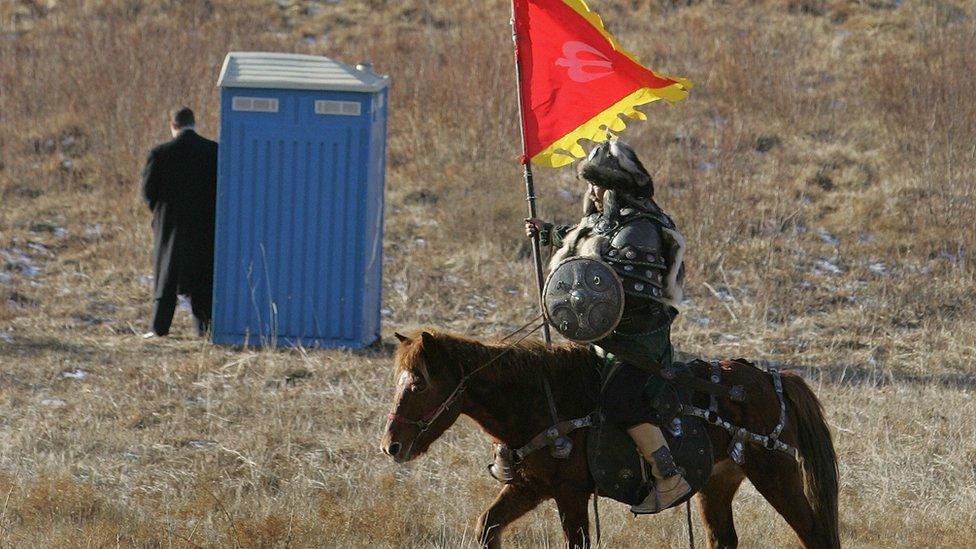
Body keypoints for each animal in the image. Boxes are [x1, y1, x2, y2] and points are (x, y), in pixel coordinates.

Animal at [382, 330, 840, 548]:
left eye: (419, 384)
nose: (391, 446)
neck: (539, 397)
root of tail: (773, 377)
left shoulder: (570, 494)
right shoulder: (530, 487)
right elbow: (487, 526)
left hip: (774, 472)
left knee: (814, 532)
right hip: (719, 482)